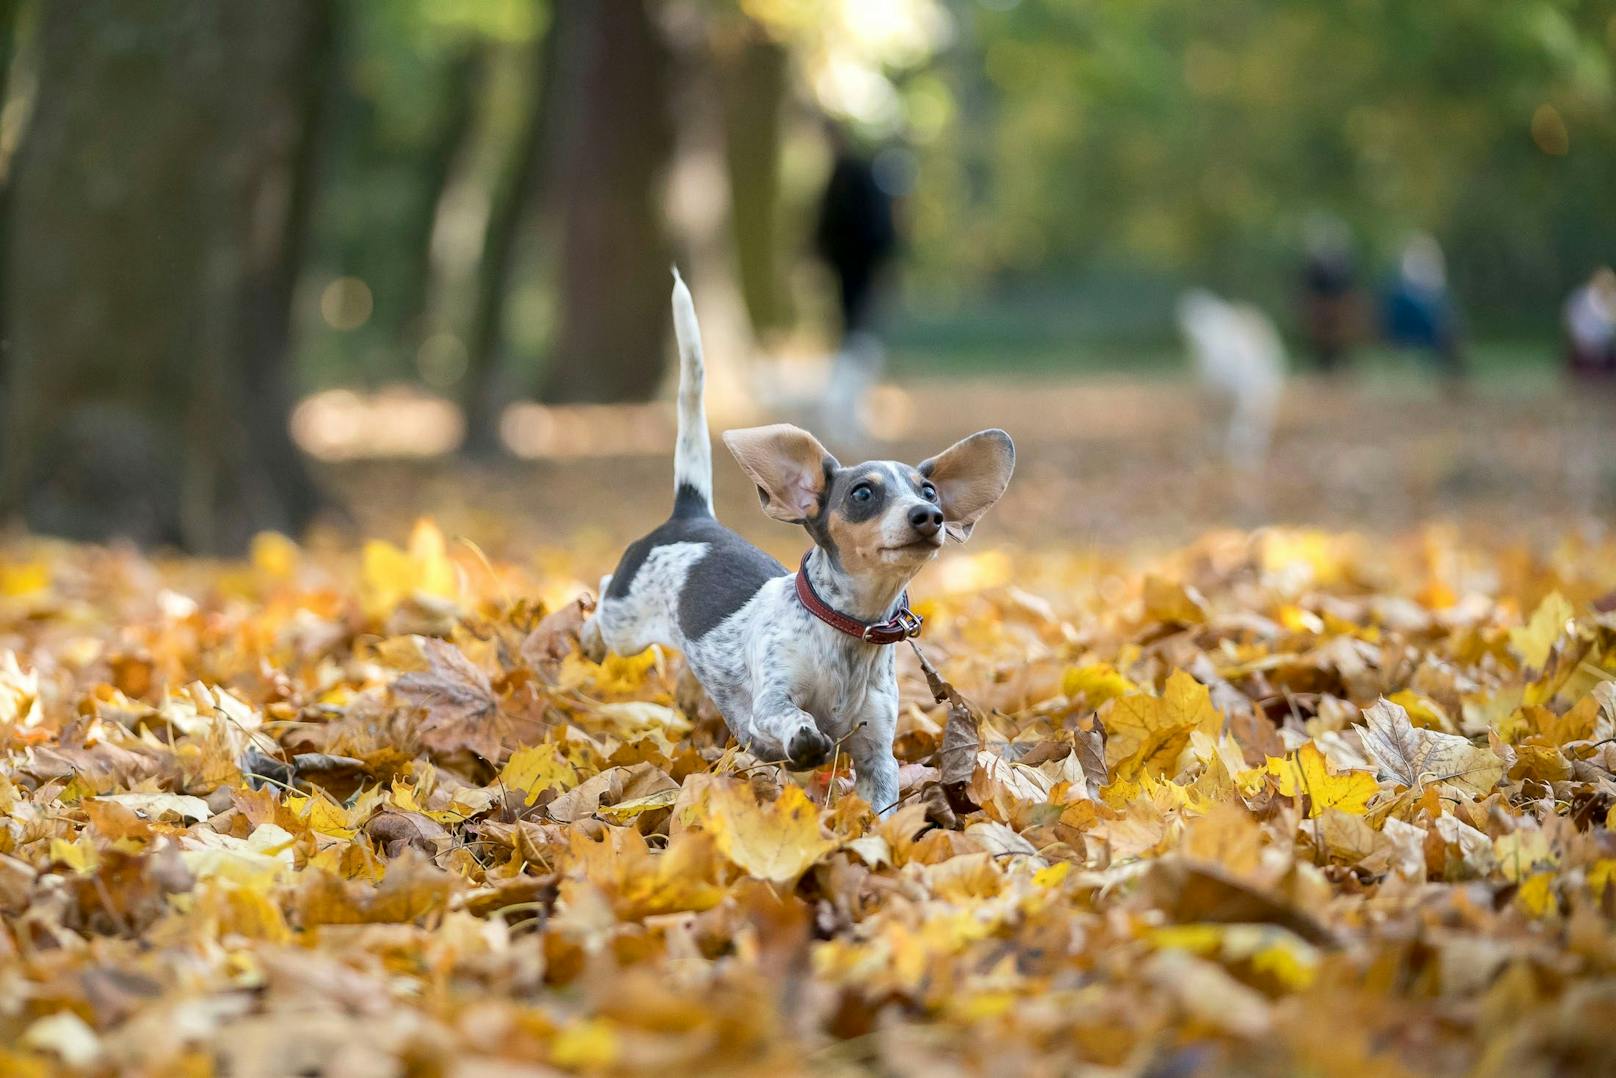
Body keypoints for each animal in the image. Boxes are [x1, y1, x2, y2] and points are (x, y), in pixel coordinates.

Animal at [578, 271, 1008, 817]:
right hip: (626, 624)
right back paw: (587, 636)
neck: (848, 631)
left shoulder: (877, 756)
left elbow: (880, 809)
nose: (928, 516)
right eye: (862, 493)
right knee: (603, 595)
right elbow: (790, 719)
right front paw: (802, 740)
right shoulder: (771, 701)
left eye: (929, 491)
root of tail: (690, 512)